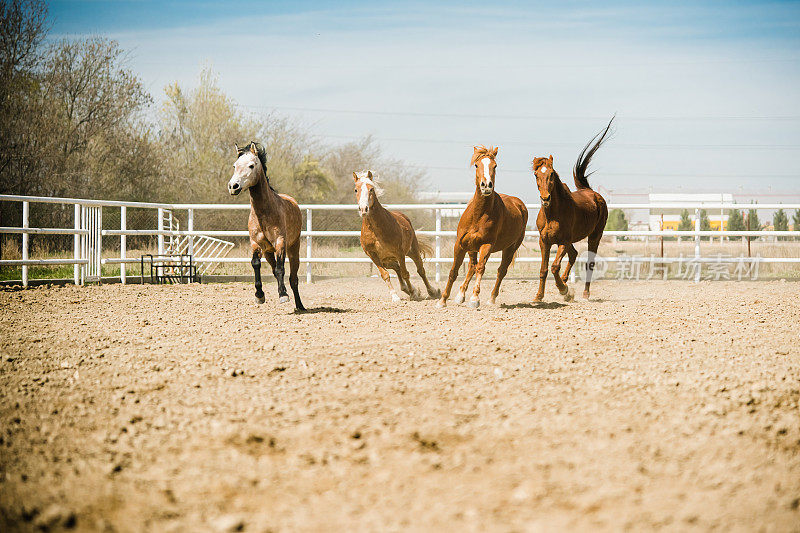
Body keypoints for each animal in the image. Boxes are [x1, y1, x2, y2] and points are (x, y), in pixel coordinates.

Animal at [231, 140, 306, 312]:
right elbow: (256, 264)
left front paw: (283, 295)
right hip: (268, 252)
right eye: (235, 165)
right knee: (274, 270)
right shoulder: (255, 243)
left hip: (294, 248)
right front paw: (259, 295)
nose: (233, 186)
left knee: (293, 278)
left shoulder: (280, 242)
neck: (264, 213)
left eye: (251, 165)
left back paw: (300, 305)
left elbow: (280, 269)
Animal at [354, 171, 440, 304]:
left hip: (412, 251)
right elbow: (385, 275)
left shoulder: (400, 253)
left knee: (420, 270)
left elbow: (406, 273)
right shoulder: (373, 256)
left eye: (371, 189)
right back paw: (407, 289)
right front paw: (395, 296)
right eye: (356, 190)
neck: (376, 230)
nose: (364, 209)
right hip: (387, 260)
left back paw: (431, 292)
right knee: (397, 268)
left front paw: (413, 293)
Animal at [434, 148, 528, 310]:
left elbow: (481, 268)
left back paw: (491, 298)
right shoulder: (460, 244)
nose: (486, 185)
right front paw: (443, 300)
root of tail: (519, 204)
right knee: (472, 266)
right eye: (477, 165)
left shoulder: (486, 245)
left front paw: (474, 298)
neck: (478, 216)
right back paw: (460, 296)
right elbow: (454, 271)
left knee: (500, 270)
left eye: (495, 166)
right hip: (472, 247)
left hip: (510, 248)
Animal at [532, 118, 612, 302]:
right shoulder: (544, 241)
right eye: (536, 175)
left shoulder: (563, 241)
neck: (553, 214)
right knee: (574, 254)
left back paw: (584, 293)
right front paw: (539, 296)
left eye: (551, 174)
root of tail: (591, 192)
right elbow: (543, 269)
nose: (545, 198)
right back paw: (565, 282)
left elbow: (554, 267)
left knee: (589, 262)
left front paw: (564, 290)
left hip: (595, 236)